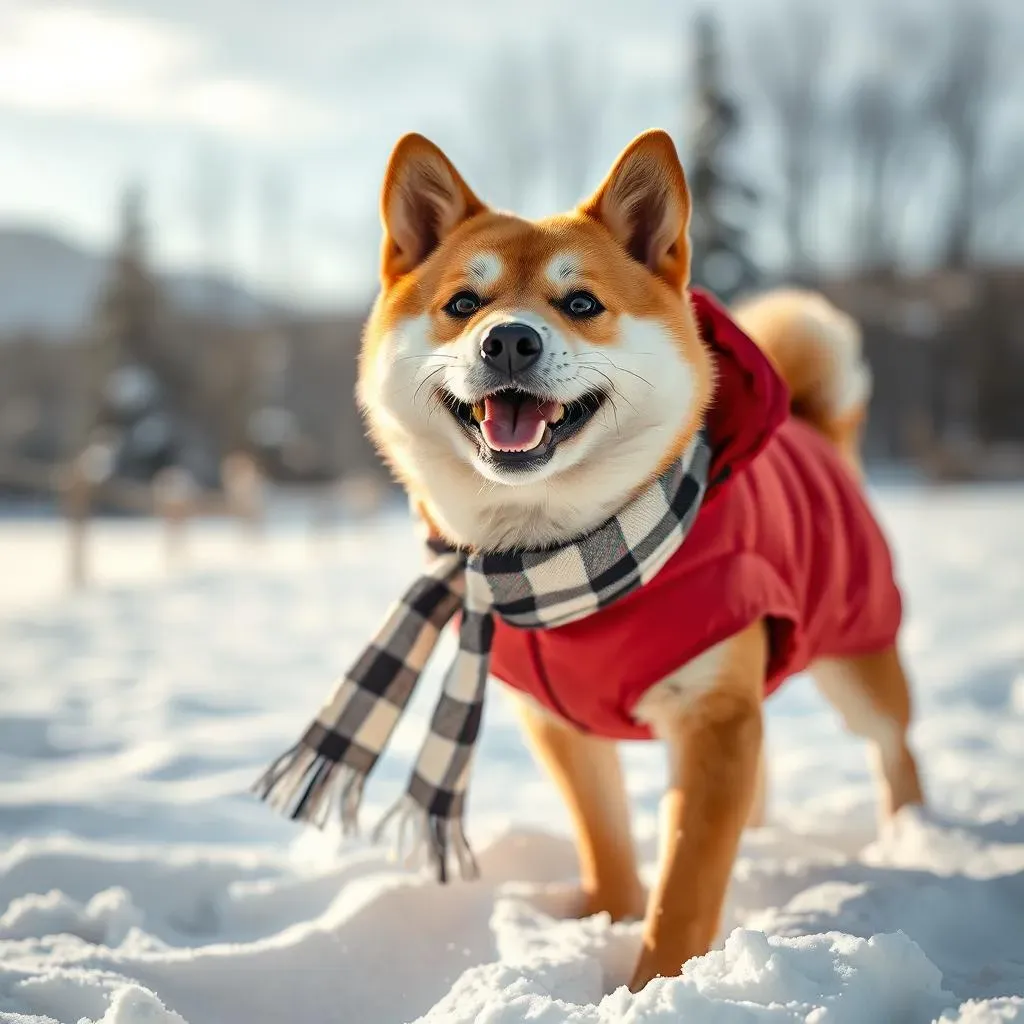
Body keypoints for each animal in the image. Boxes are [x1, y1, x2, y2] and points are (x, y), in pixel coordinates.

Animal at [356, 125, 925, 991]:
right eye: (462, 304)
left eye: (581, 303)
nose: (509, 338)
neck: (560, 559)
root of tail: (819, 429)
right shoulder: (558, 720)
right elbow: (607, 843)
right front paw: (608, 918)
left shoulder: (713, 716)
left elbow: (686, 886)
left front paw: (655, 983)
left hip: (857, 651)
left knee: (895, 747)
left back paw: (916, 837)